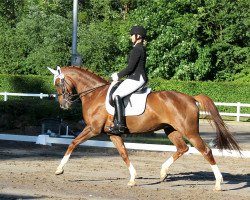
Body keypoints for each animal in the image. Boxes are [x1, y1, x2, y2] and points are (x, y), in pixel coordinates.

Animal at [47, 66, 241, 191]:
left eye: (57, 84)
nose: (64, 105)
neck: (95, 93)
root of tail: (191, 98)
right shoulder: (112, 134)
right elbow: (124, 154)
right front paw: (133, 179)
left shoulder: (93, 129)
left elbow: (72, 143)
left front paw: (59, 169)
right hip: (171, 130)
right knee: (182, 148)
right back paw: (163, 172)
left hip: (190, 131)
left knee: (205, 150)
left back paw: (218, 183)